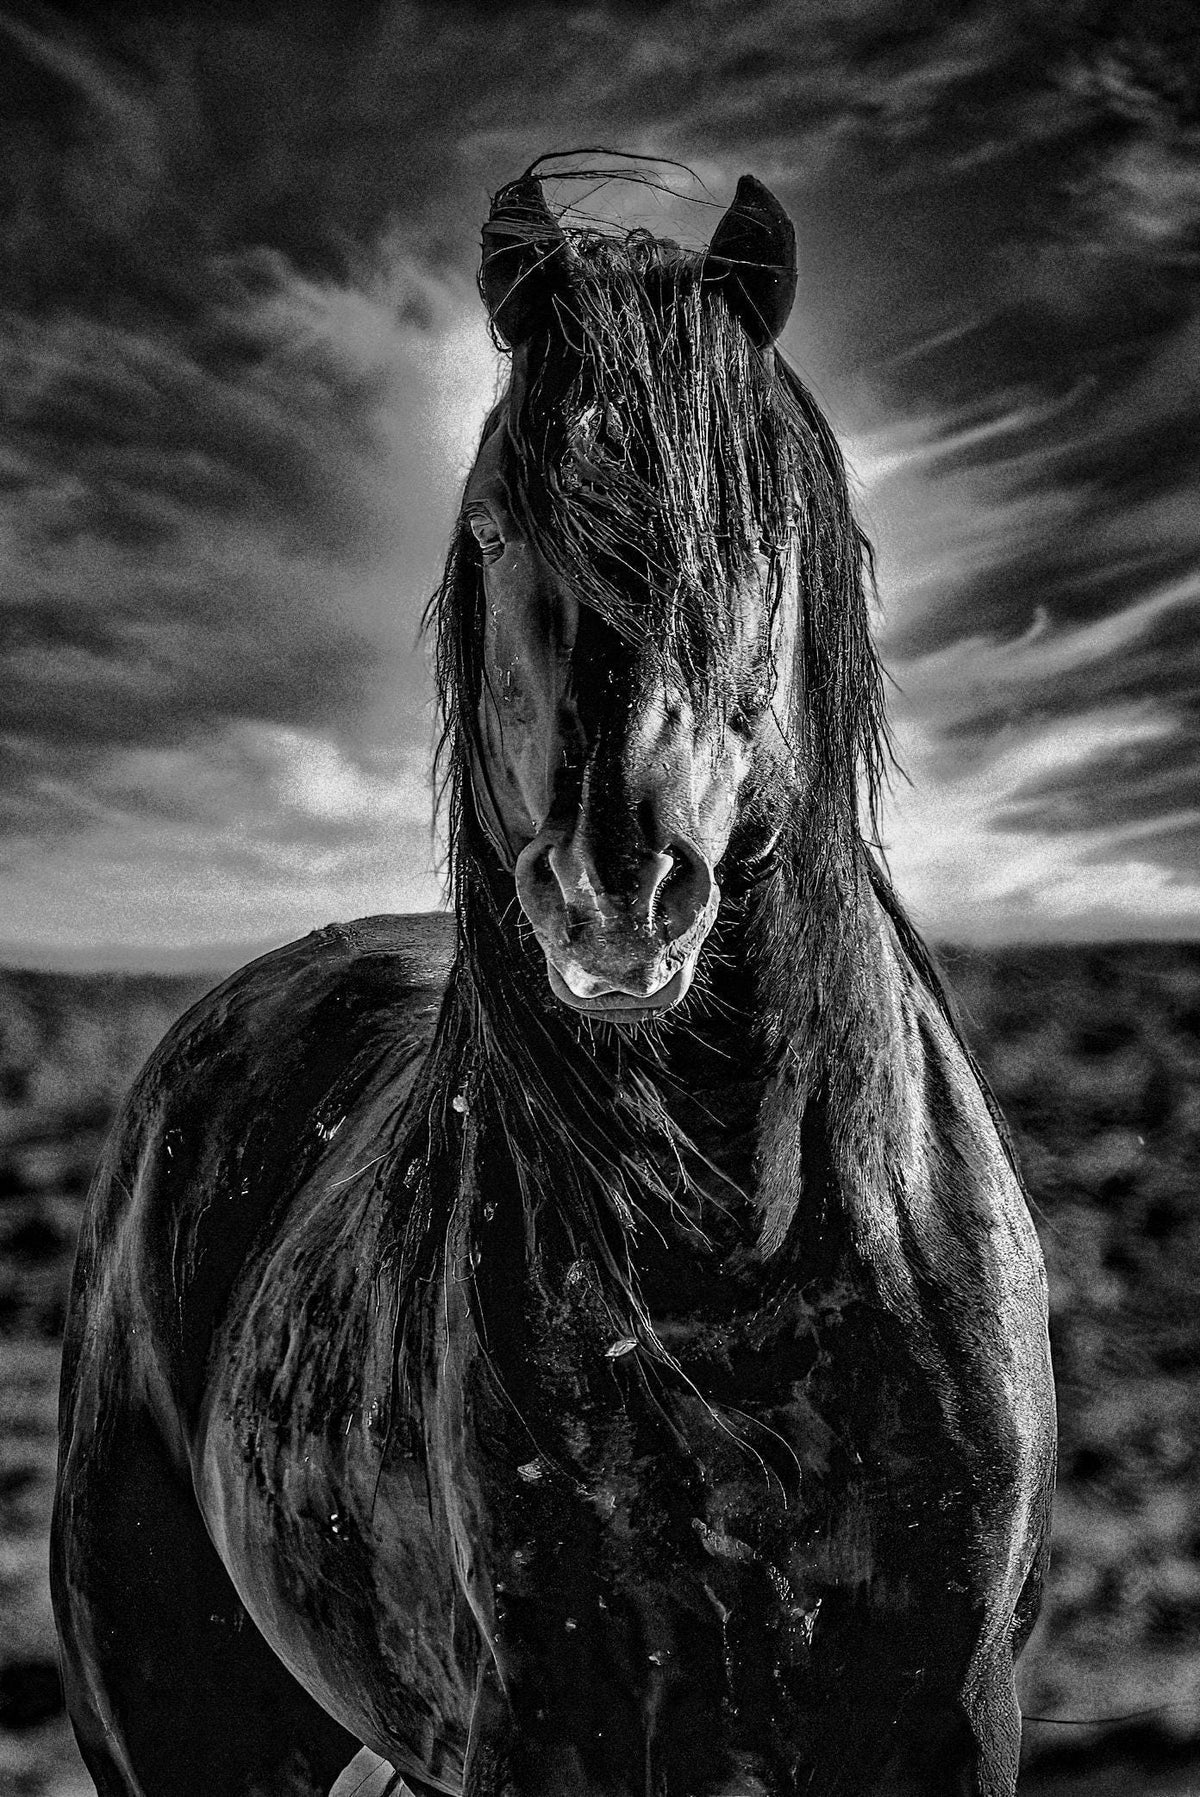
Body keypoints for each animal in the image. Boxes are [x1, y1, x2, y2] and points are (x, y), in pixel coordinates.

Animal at [51, 167, 1056, 1797]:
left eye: (759, 523)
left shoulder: (949, 1715)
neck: (740, 1259)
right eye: (491, 523)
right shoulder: (550, 1721)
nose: (614, 892)